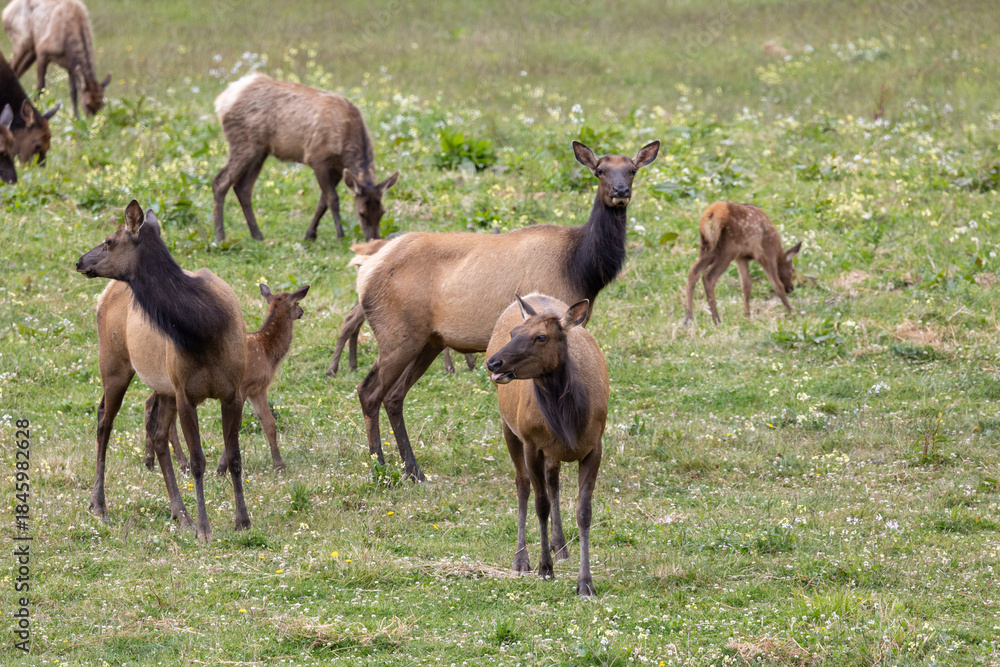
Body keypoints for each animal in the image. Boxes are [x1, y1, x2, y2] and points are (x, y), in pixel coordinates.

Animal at [76, 200, 249, 543]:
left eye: (109, 241)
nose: (79, 261)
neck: (205, 329)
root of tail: (104, 295)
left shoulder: (232, 392)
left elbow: (234, 456)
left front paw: (242, 521)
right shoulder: (186, 393)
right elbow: (198, 461)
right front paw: (205, 528)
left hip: (162, 385)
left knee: (155, 433)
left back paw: (179, 513)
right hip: (114, 364)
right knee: (104, 421)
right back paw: (98, 504)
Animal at [143, 283, 310, 474]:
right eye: (297, 302)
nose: (302, 311)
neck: (267, 351)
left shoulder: (258, 389)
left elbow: (269, 423)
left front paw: (279, 464)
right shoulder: (243, 387)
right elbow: (236, 427)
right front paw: (221, 468)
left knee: (150, 404)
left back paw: (151, 460)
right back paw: (180, 462)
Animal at [212, 72, 399, 242]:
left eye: (383, 212)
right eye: (361, 213)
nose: (375, 239)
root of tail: (221, 101)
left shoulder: (338, 169)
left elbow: (322, 202)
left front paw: (310, 235)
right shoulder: (318, 159)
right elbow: (332, 199)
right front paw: (340, 235)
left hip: (260, 151)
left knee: (243, 188)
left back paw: (257, 235)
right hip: (244, 143)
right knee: (220, 181)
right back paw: (220, 237)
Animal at [354, 140, 658, 481]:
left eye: (631, 169)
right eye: (600, 170)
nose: (620, 191)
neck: (582, 268)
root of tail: (365, 272)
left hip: (429, 341)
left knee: (394, 396)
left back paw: (413, 469)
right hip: (397, 335)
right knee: (369, 391)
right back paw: (378, 464)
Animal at [486, 293, 608, 597]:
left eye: (541, 337)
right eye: (514, 332)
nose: (493, 363)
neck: (570, 420)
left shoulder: (595, 445)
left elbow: (584, 512)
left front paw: (585, 582)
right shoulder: (532, 441)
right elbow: (540, 504)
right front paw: (544, 567)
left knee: (553, 479)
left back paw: (561, 546)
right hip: (509, 427)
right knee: (523, 484)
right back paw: (521, 558)